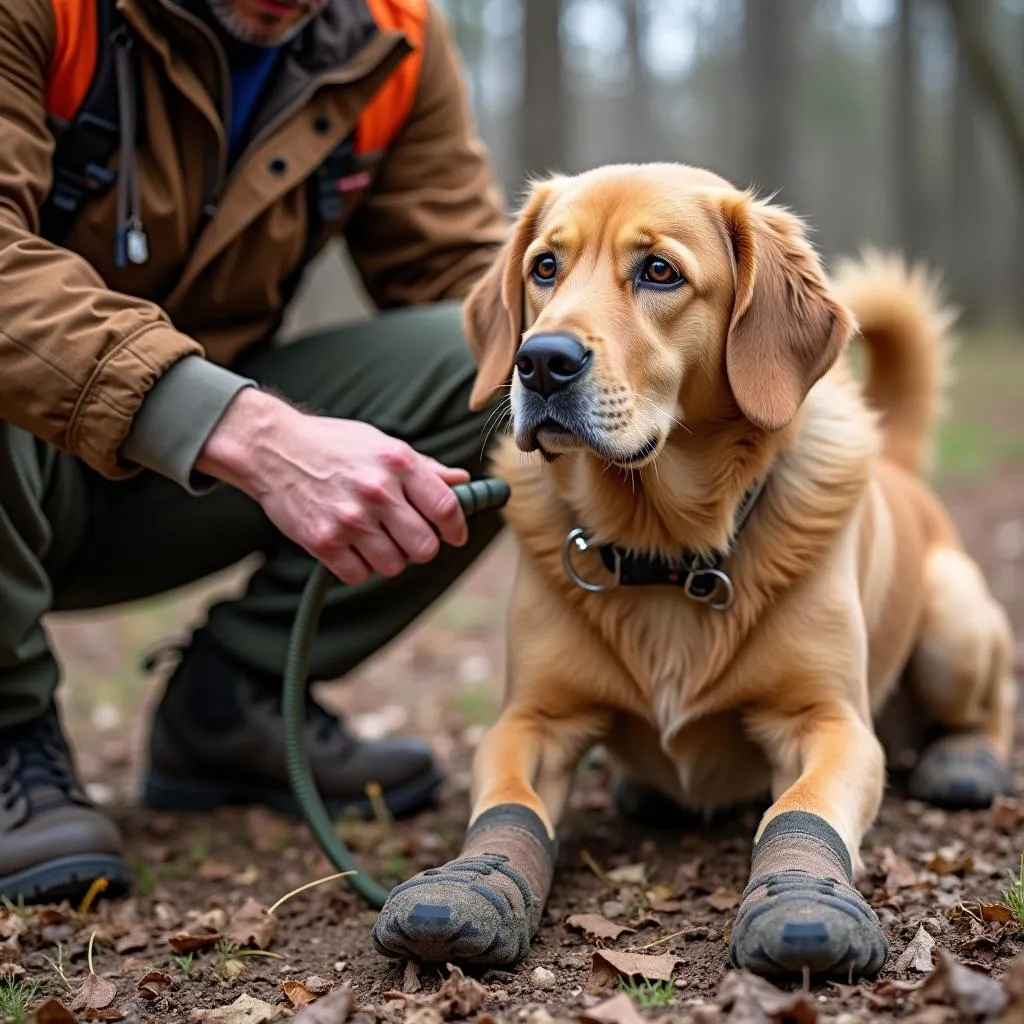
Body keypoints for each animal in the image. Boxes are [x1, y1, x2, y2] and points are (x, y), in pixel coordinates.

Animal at [370, 163, 1015, 978]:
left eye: (659, 272)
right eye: (544, 268)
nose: (540, 360)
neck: (665, 553)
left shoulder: (831, 722)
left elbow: (798, 806)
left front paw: (802, 897)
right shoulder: (530, 719)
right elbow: (511, 804)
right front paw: (470, 884)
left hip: (954, 626)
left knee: (989, 710)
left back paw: (964, 762)